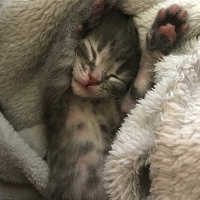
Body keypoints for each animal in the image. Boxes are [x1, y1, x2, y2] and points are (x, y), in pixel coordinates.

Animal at [41, 3, 188, 200]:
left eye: (115, 77)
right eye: (91, 51)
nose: (93, 79)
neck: (87, 101)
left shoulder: (124, 112)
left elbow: (137, 94)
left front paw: (161, 39)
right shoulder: (51, 92)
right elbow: (62, 50)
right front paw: (87, 12)